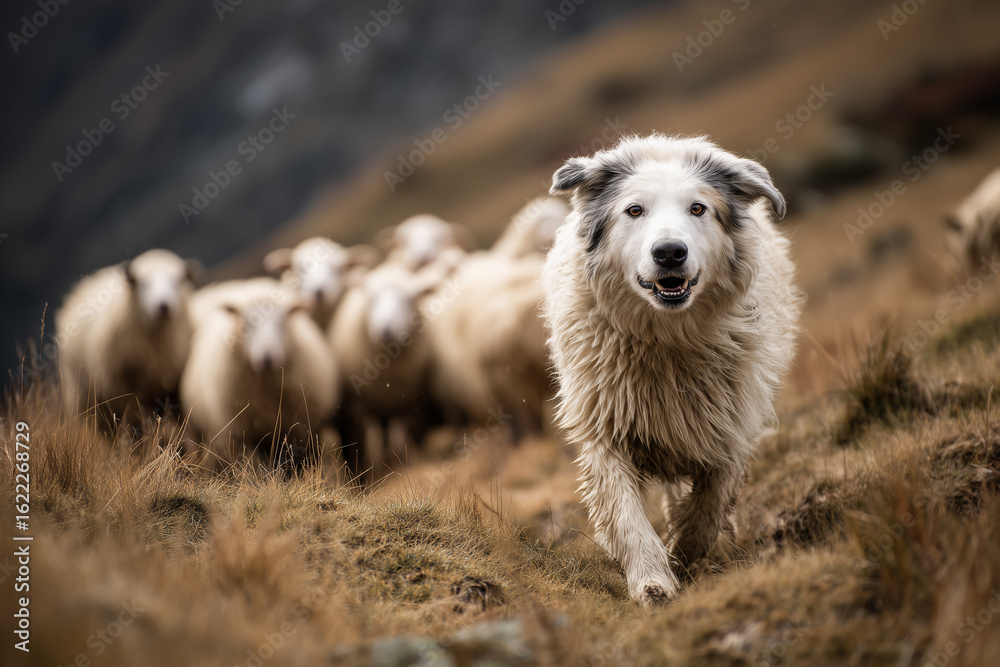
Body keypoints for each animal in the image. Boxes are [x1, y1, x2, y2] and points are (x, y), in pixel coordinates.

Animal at [56, 249, 200, 430]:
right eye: (143, 284)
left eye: (178, 282)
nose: (163, 306)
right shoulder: (126, 392)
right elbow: (134, 427)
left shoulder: (173, 390)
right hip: (83, 394)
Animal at [328, 260, 456, 479]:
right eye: (371, 298)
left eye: (409, 299)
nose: (385, 331)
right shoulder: (355, 410)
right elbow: (356, 448)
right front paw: (360, 478)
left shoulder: (416, 407)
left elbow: (416, 439)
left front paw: (413, 464)